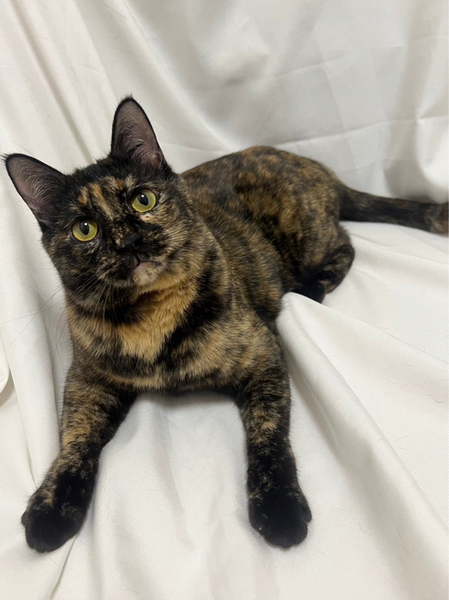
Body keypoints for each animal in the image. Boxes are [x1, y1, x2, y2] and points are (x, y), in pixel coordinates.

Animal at [5, 98, 448, 553]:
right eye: (84, 229)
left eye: (143, 200)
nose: (129, 242)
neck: (148, 315)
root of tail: (311, 163)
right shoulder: (88, 379)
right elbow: (74, 439)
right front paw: (51, 507)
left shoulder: (263, 355)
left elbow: (268, 434)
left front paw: (280, 507)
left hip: (308, 235)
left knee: (347, 245)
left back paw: (310, 287)